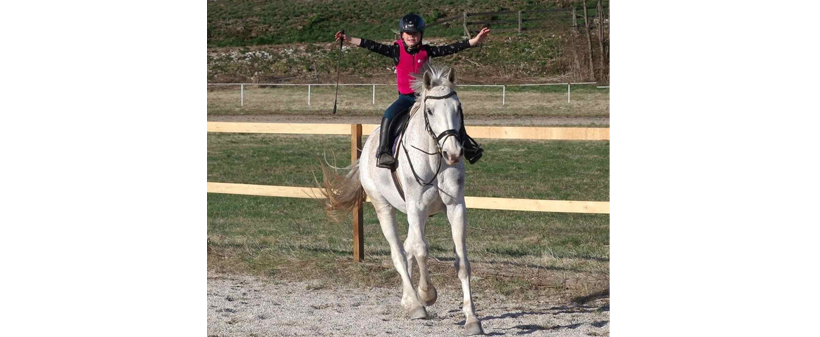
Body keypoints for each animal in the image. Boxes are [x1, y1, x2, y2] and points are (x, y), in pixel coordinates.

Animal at [320, 63, 484, 334]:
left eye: (458, 108)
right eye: (430, 110)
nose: (453, 153)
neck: (433, 157)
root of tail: (366, 148)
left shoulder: (455, 206)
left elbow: (461, 261)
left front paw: (472, 319)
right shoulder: (416, 207)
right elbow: (421, 251)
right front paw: (427, 295)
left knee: (407, 249)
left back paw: (409, 300)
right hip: (384, 207)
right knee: (399, 252)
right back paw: (416, 304)